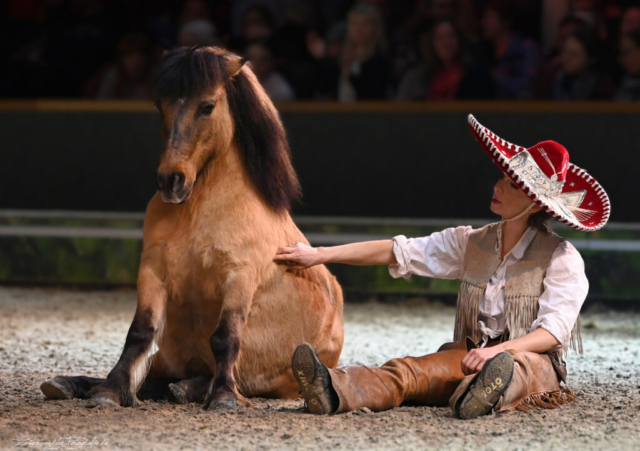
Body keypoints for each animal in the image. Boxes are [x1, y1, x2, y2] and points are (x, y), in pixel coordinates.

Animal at [41, 46, 344, 410]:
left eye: (207, 106)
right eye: (160, 105)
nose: (171, 180)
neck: (199, 209)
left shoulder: (239, 276)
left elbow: (225, 336)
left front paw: (224, 395)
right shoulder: (153, 271)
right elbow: (139, 332)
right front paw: (110, 390)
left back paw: (189, 388)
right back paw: (68, 383)